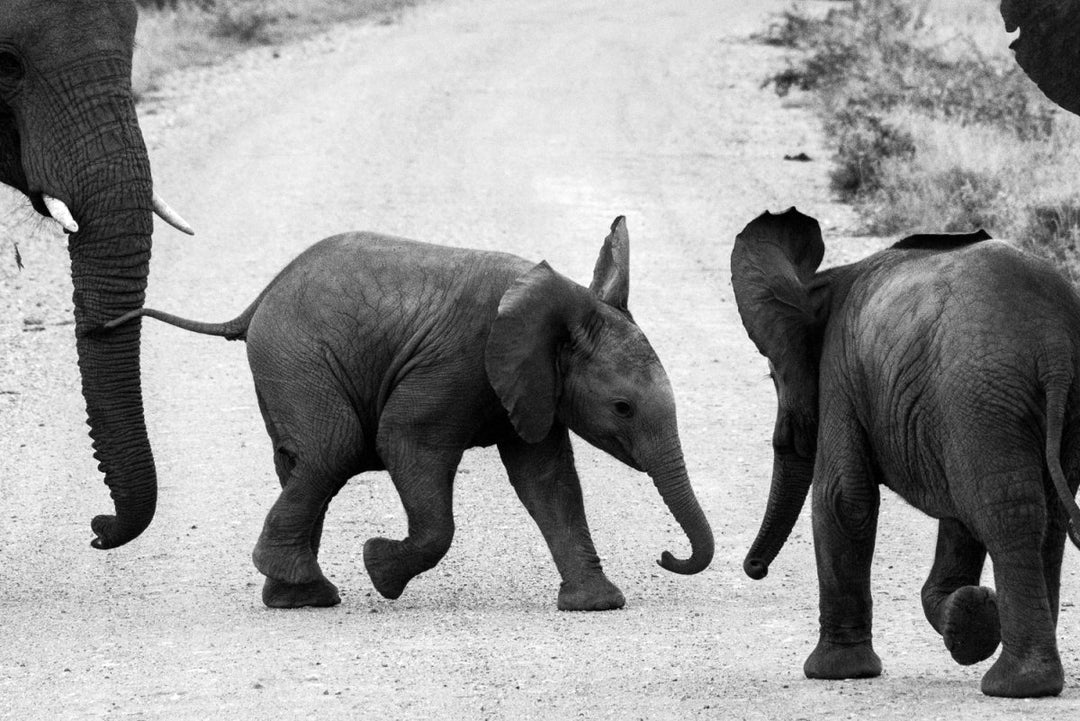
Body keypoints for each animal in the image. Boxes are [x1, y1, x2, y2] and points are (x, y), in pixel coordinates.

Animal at [109, 216, 712, 613]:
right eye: (623, 407)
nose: (666, 555)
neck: (558, 306)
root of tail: (260, 298)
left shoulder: (534, 386)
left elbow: (547, 479)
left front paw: (596, 605)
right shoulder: (458, 364)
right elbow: (407, 444)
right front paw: (380, 569)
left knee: (301, 463)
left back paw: (300, 597)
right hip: (297, 358)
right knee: (333, 448)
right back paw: (304, 588)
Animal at [730, 208, 1080, 699]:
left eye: (774, 377)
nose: (755, 568)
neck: (825, 282)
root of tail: (1054, 345)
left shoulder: (840, 373)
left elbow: (843, 500)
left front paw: (836, 672)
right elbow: (954, 518)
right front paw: (969, 616)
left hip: (978, 395)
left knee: (1008, 516)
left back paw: (1017, 685)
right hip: (1026, 405)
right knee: (1045, 519)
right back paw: (1033, 676)